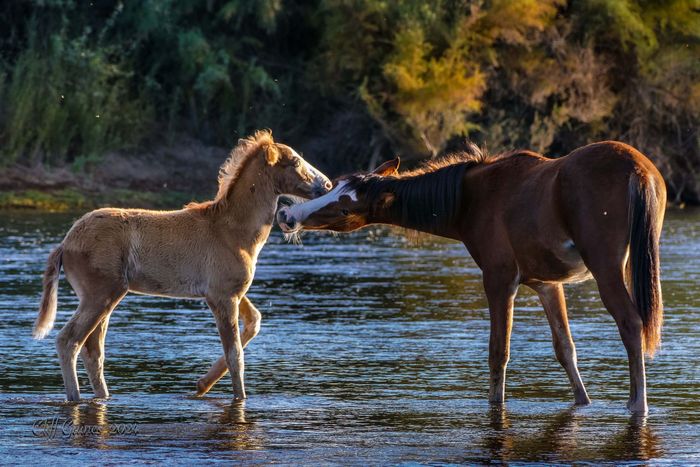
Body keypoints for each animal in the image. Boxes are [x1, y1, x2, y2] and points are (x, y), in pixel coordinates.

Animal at [34, 131, 334, 402]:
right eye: (294, 161)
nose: (328, 184)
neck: (235, 233)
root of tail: (65, 244)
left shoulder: (231, 292)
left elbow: (254, 321)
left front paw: (201, 384)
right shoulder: (222, 296)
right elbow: (235, 354)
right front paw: (238, 397)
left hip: (107, 296)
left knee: (93, 350)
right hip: (101, 294)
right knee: (69, 341)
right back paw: (74, 398)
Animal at [278, 142, 668, 414]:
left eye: (346, 207)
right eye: (336, 184)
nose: (287, 214)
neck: (467, 203)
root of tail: (640, 172)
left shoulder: (499, 277)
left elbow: (498, 352)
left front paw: (496, 403)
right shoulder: (546, 283)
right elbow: (565, 350)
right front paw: (584, 401)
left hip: (606, 265)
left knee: (631, 322)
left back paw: (638, 403)